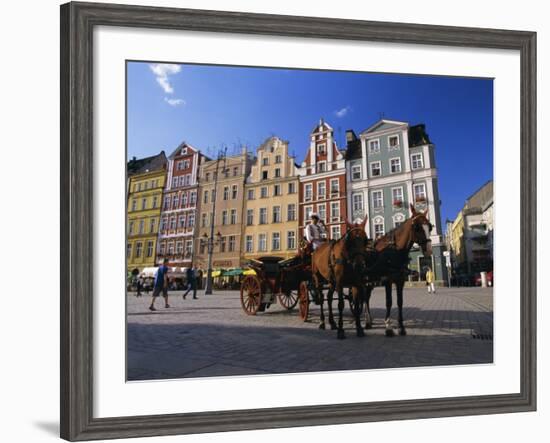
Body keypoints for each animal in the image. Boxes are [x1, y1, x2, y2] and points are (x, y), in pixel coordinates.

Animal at [366, 205, 436, 336]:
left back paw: (369, 320)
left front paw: (401, 327)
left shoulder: (400, 280)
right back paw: (367, 321)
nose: (428, 250)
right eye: (417, 227)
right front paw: (388, 326)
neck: (394, 250)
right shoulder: (387, 280)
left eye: (430, 227)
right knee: (365, 299)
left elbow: (400, 302)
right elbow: (389, 301)